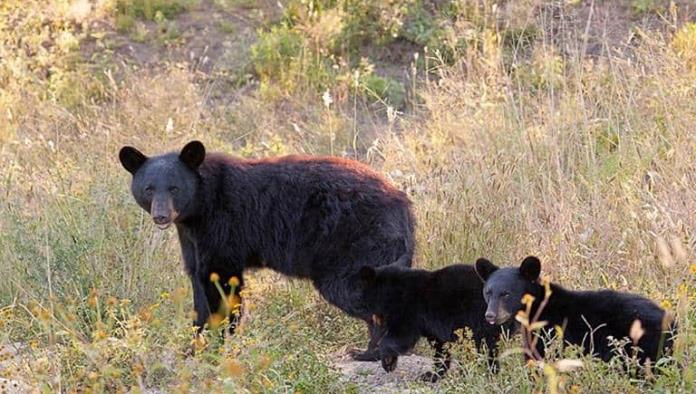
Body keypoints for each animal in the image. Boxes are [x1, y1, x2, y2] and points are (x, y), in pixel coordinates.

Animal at [119, 142, 414, 360]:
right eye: (149, 189)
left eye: (174, 188)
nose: (161, 216)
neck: (199, 210)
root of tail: (403, 203)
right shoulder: (191, 240)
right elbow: (199, 288)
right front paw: (193, 347)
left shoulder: (223, 229)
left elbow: (222, 285)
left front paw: (217, 345)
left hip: (359, 246)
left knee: (356, 290)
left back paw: (369, 353)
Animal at [358, 262, 512, 382]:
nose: (371, 343)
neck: (393, 293)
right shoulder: (434, 326)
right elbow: (440, 347)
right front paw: (431, 374)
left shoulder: (410, 310)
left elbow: (401, 336)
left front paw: (387, 363)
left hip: (482, 318)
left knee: (483, 347)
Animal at [474, 258, 676, 364]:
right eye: (488, 292)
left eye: (506, 294)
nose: (490, 315)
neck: (538, 307)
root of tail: (671, 321)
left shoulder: (549, 331)